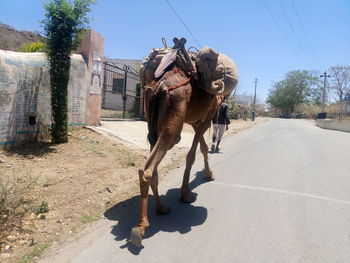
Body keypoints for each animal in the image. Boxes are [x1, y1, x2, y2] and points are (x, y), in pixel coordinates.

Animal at [131, 39, 238, 248]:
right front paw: (186, 194)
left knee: (153, 164)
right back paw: (141, 227)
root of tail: (159, 85)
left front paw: (208, 174)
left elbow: (203, 147)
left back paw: (161, 208)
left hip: (151, 122)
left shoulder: (196, 121)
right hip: (172, 125)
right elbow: (193, 154)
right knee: (147, 168)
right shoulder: (207, 117)